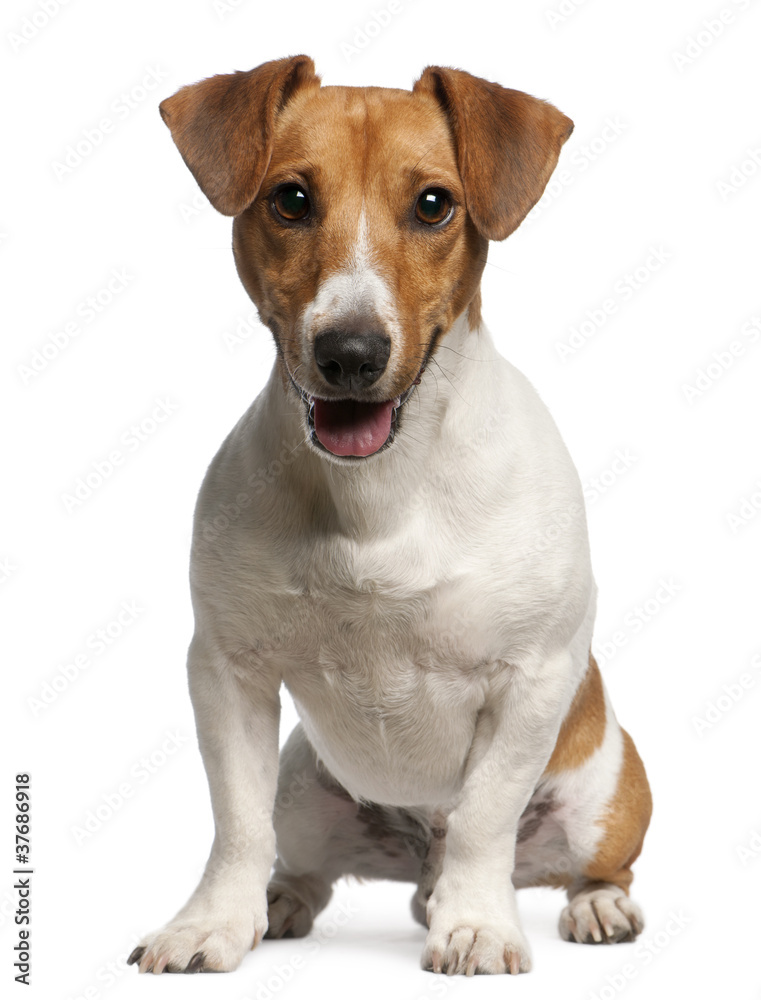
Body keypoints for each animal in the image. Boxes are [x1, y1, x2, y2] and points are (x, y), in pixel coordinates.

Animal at [127, 54, 652, 976]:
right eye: (290, 199)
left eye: (434, 203)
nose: (350, 353)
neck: (376, 490)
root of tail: (419, 860)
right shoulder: (227, 673)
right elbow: (235, 821)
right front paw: (211, 924)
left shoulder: (533, 677)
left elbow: (484, 816)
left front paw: (476, 925)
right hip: (307, 790)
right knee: (298, 858)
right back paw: (283, 902)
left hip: (605, 795)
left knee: (581, 862)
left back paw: (589, 905)